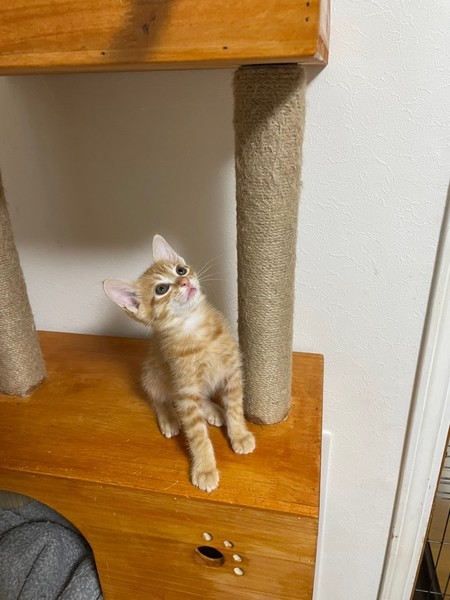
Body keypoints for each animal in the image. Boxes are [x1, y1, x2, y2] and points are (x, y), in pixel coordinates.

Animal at [103, 235, 255, 492]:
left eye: (180, 269)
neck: (197, 329)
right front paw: (205, 469)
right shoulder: (185, 388)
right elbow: (197, 435)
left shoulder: (232, 371)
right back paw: (169, 419)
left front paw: (239, 434)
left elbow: (235, 407)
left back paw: (214, 410)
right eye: (161, 289)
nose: (184, 280)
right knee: (161, 399)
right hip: (153, 376)